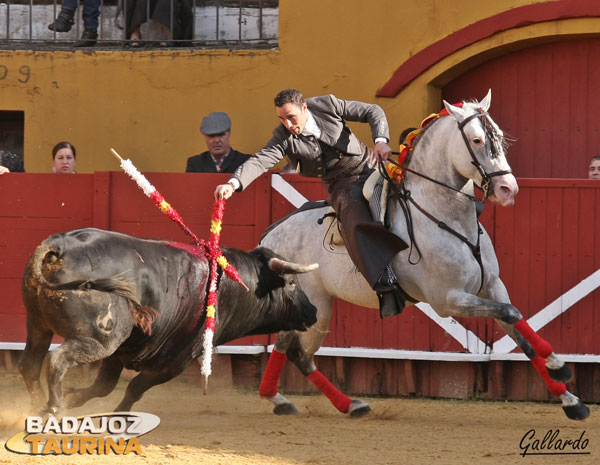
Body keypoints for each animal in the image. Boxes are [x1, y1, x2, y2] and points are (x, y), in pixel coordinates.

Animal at [18, 227, 318, 414]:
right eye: (292, 283)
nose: (313, 311)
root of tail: (60, 245)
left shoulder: (123, 351)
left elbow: (105, 386)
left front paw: (75, 397)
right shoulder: (175, 361)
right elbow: (134, 389)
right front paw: (119, 416)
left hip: (38, 324)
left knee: (30, 364)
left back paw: (36, 407)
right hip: (100, 338)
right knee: (56, 360)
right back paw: (53, 407)